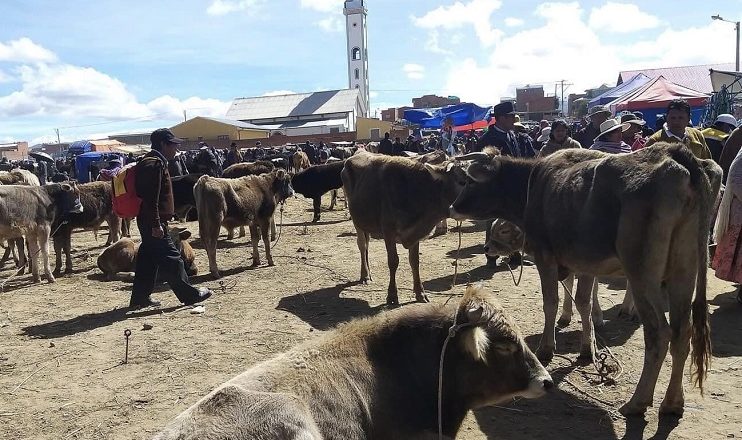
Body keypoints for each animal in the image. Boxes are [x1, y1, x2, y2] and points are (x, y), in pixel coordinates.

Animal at [342, 150, 468, 304]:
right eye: (462, 182)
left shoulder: (415, 233)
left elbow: (415, 262)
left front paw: (420, 292)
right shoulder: (388, 232)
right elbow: (393, 261)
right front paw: (392, 295)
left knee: (366, 245)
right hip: (356, 220)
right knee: (362, 245)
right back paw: (365, 275)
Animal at [450, 144, 724, 416]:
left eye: (469, 181)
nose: (452, 207)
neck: (533, 186)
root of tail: (674, 152)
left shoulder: (545, 256)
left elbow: (550, 302)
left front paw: (547, 347)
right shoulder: (584, 263)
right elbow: (584, 302)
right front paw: (586, 348)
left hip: (642, 275)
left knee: (659, 333)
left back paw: (637, 401)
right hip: (684, 271)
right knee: (682, 332)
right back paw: (672, 403)